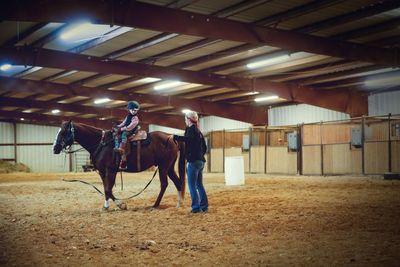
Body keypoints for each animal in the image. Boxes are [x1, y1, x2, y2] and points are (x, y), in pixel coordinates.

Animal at [51, 121, 186, 211]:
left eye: (63, 132)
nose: (54, 148)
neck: (102, 144)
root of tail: (171, 137)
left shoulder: (111, 170)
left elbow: (108, 189)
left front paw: (121, 204)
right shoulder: (102, 172)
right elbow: (106, 189)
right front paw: (106, 206)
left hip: (163, 167)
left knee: (164, 184)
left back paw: (155, 205)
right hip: (169, 168)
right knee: (177, 182)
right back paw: (179, 204)